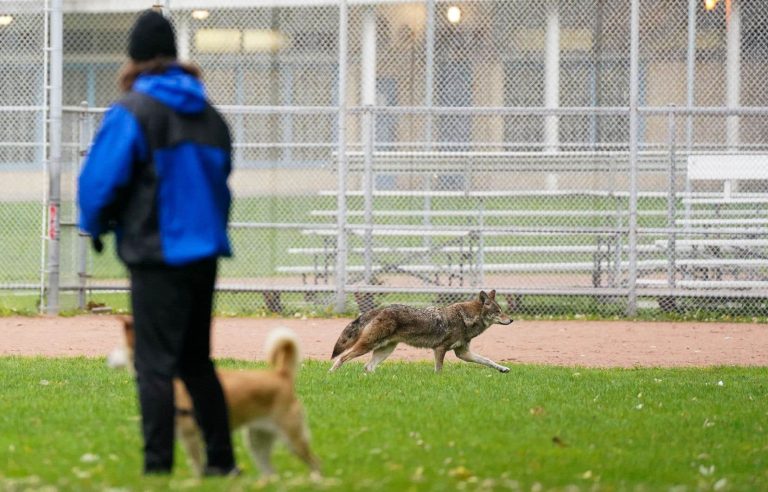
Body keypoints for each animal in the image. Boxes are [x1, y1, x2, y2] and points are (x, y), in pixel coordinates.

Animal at [118, 318, 320, 478]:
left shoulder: (191, 436)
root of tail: (281, 376)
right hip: (257, 441)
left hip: (292, 437)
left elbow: (197, 467)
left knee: (315, 462)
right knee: (271, 472)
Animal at [328, 288, 510, 372]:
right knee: (342, 358)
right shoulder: (440, 349)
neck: (465, 318)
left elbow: (487, 360)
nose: (511, 320)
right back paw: (331, 375)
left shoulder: (463, 353)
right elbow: (439, 370)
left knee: (368, 367)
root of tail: (380, 309)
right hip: (367, 347)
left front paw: (503, 369)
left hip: (385, 351)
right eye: (498, 312)